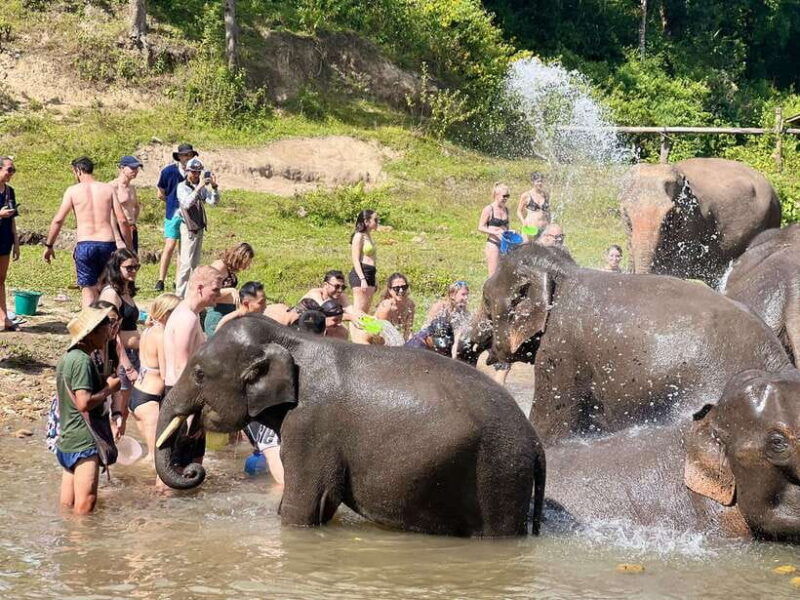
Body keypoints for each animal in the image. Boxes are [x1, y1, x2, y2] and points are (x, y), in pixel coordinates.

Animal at [154, 314, 546, 538]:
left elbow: (305, 507)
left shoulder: (311, 426)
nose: (193, 470)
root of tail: (536, 442)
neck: (291, 340)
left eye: (200, 373)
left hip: (499, 472)